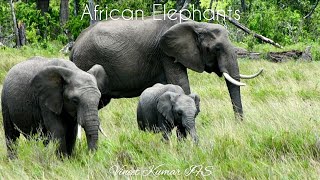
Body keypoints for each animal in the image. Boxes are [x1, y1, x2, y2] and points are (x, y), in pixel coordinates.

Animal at [70, 13, 262, 121]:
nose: (238, 124)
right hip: (86, 60)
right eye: (217, 49)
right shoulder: (166, 54)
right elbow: (181, 84)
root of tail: (74, 47)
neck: (196, 24)